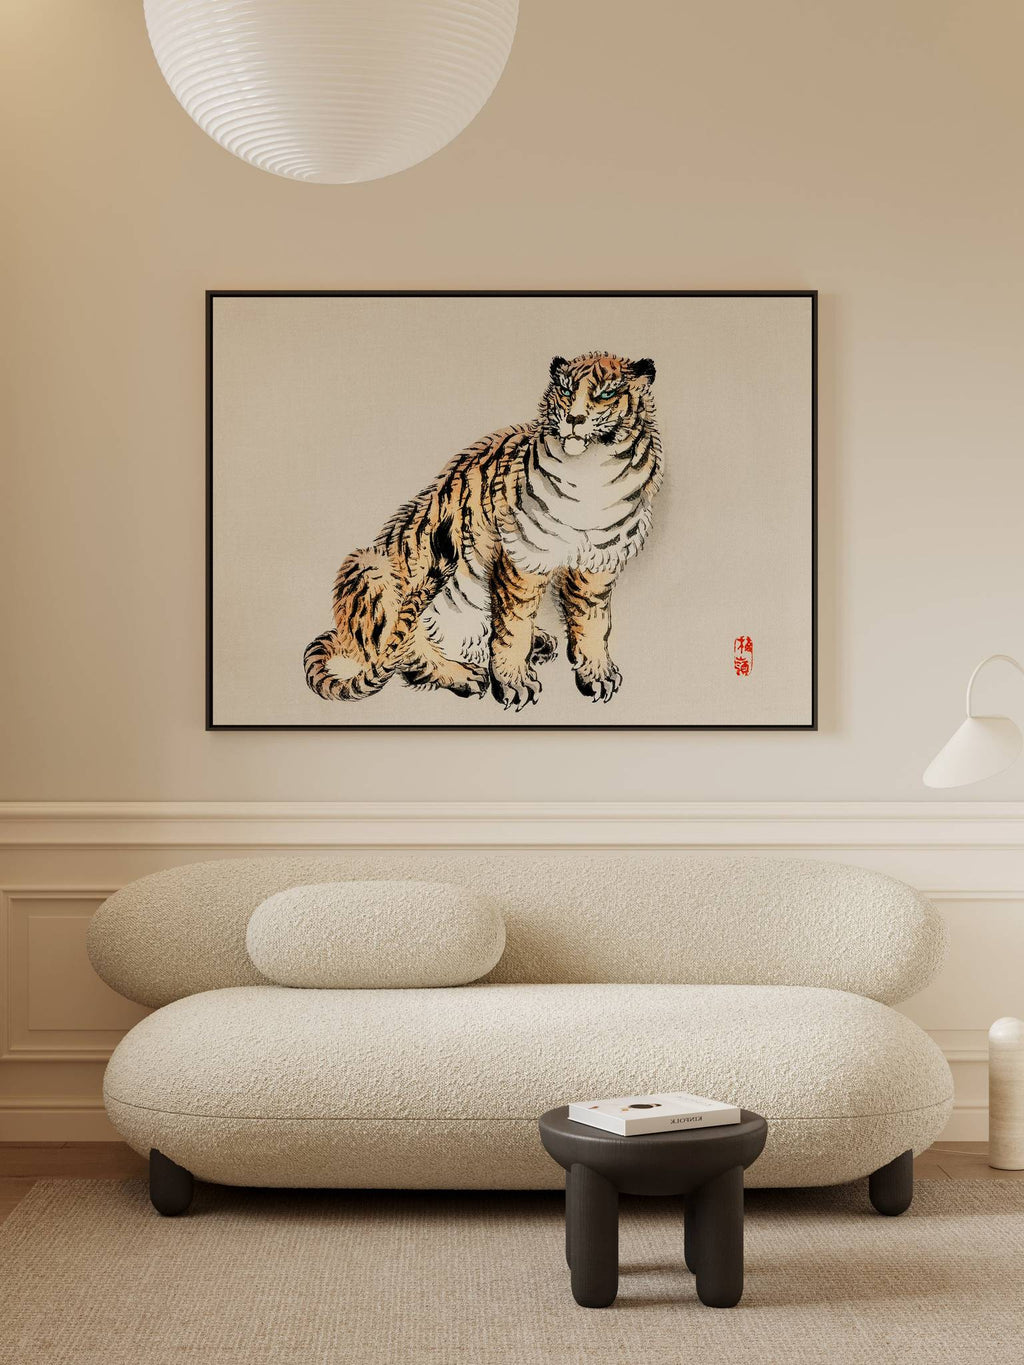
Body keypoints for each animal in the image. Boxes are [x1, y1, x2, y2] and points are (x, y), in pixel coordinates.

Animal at [303, 351, 662, 712]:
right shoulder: (521, 558)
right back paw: (465, 675)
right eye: (565, 390)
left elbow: (593, 621)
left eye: (606, 394)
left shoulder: (598, 563)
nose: (574, 419)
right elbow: (513, 627)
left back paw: (539, 641)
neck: (592, 473)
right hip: (368, 565)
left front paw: (597, 674)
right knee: (405, 653)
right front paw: (515, 684)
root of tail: (342, 636)